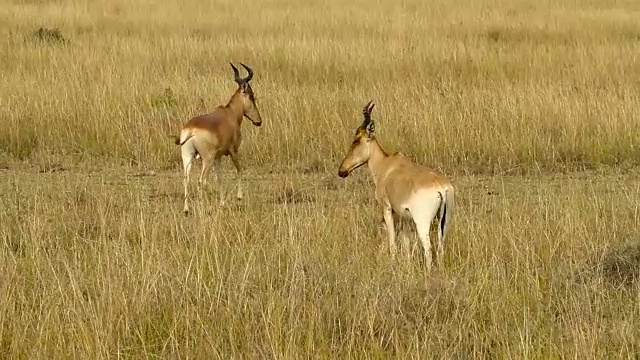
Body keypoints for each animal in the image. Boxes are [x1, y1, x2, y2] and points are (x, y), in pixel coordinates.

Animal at [174, 62, 262, 214]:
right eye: (252, 96)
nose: (258, 121)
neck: (230, 114)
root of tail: (191, 129)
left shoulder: (218, 157)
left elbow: (219, 178)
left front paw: (222, 203)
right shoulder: (233, 151)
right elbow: (239, 169)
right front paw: (239, 197)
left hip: (187, 156)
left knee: (186, 178)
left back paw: (186, 209)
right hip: (206, 159)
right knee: (201, 181)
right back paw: (204, 207)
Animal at [338, 101, 452, 270]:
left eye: (356, 140)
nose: (342, 171)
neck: (386, 164)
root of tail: (441, 188)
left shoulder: (387, 208)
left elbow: (392, 239)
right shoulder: (403, 215)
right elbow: (405, 242)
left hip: (422, 222)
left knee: (428, 248)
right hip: (444, 222)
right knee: (440, 246)